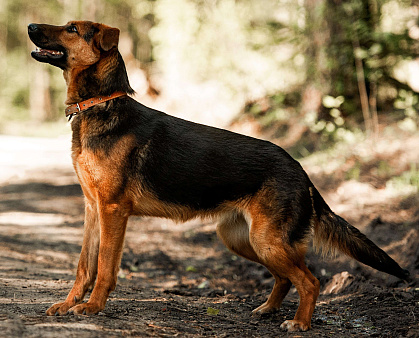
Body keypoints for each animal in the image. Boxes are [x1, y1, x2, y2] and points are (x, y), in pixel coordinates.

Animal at [27, 21, 410, 332]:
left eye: (72, 29)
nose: (30, 26)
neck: (101, 104)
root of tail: (301, 170)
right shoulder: (93, 209)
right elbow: (84, 266)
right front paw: (70, 303)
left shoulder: (113, 211)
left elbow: (104, 267)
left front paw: (92, 307)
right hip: (244, 240)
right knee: (286, 278)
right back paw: (268, 309)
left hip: (267, 242)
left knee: (310, 281)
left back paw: (299, 323)